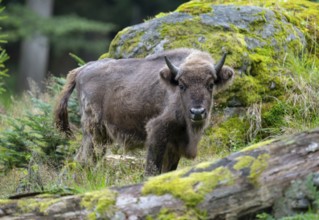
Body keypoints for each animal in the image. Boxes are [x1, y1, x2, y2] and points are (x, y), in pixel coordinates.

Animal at [55, 48, 235, 175]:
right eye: (181, 85)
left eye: (210, 84)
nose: (197, 112)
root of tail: (81, 70)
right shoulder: (157, 133)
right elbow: (152, 169)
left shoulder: (175, 144)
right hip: (94, 133)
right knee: (83, 160)